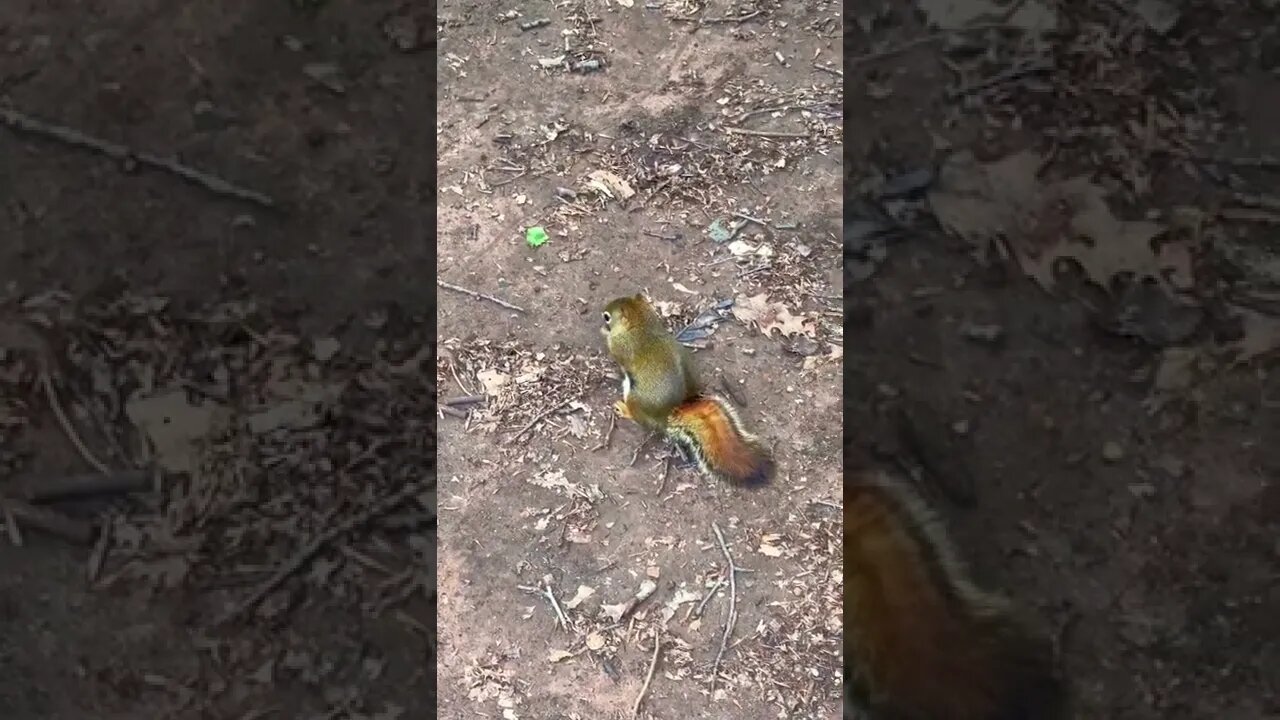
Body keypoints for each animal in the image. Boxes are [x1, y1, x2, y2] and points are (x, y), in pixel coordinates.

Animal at [600, 293, 774, 487]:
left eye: (607, 317)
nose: (602, 317)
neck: (642, 324)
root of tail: (668, 416)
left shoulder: (620, 346)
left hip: (634, 398)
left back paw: (624, 409)